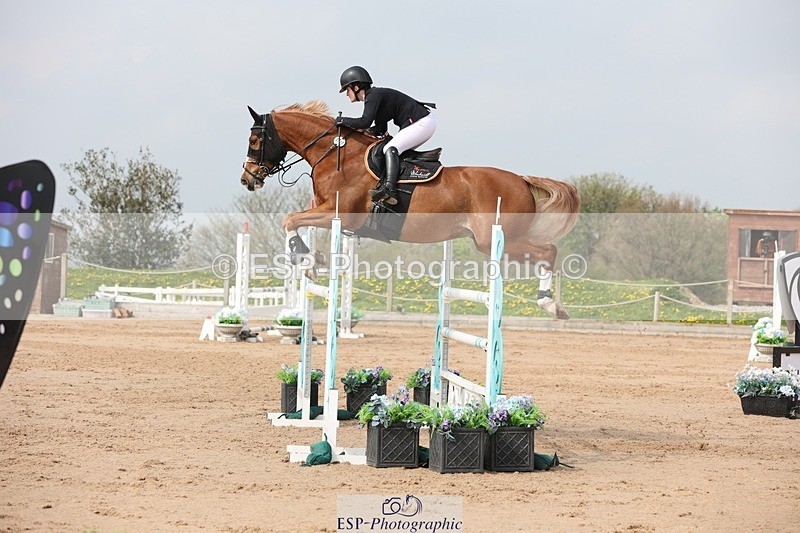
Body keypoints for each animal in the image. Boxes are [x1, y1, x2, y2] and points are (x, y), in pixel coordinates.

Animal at [240, 101, 580, 319]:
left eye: (255, 140)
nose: (247, 179)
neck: (336, 154)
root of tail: (521, 180)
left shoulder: (342, 214)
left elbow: (289, 219)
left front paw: (307, 259)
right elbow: (294, 220)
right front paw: (311, 259)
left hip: (495, 239)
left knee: (548, 251)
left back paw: (550, 305)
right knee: (546, 252)